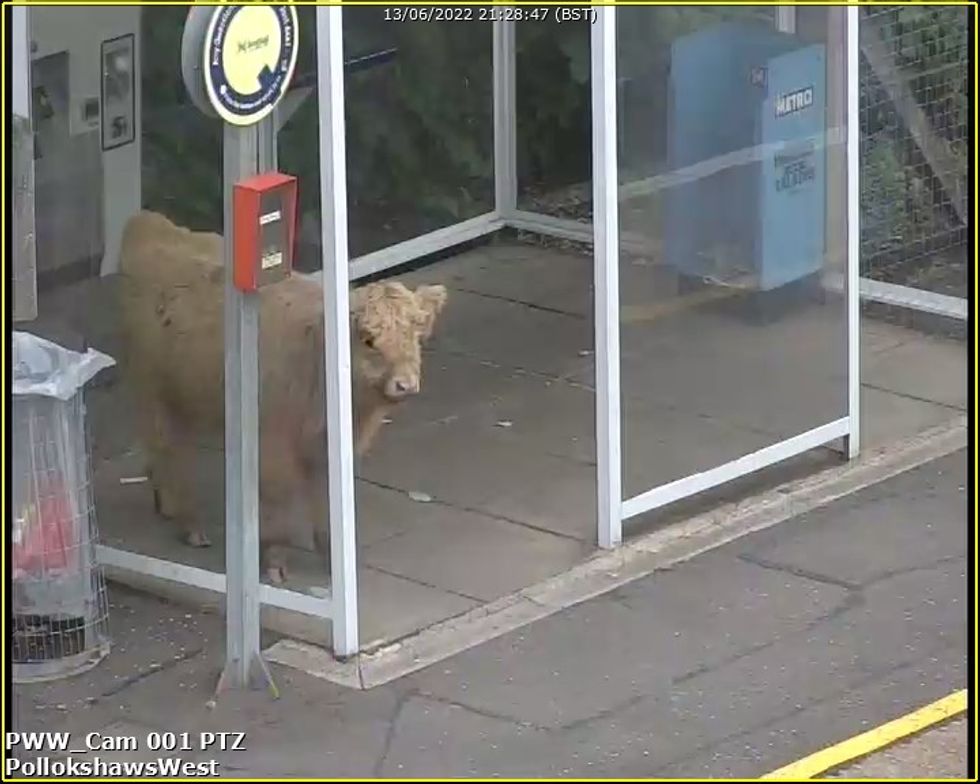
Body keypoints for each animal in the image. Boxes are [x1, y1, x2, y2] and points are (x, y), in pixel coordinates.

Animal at [117, 208, 448, 580]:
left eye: (416, 335)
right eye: (368, 339)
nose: (405, 384)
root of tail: (149, 223)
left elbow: (327, 496)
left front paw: (331, 555)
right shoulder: (274, 444)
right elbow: (279, 498)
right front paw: (275, 560)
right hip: (152, 392)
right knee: (170, 449)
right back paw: (189, 523)